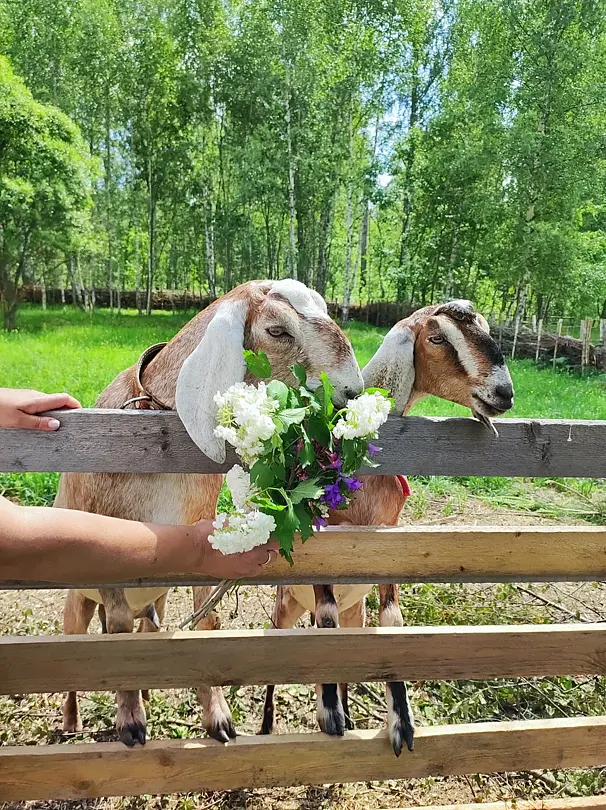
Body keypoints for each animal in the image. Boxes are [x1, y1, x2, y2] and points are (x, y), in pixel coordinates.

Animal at [55, 279, 364, 747]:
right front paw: (130, 721)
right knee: (77, 644)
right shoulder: (110, 552)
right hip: (77, 602)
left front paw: (217, 716)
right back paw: (71, 721)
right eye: (277, 330)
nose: (353, 391)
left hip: (159, 601)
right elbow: (118, 632)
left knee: (152, 629)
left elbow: (208, 624)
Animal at [261, 300, 514, 756]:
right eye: (437, 338)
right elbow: (325, 615)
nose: (504, 393)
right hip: (284, 609)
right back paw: (272, 727)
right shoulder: (325, 541)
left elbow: (392, 622)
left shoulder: (389, 541)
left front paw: (402, 722)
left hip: (355, 614)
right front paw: (328, 713)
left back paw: (349, 712)